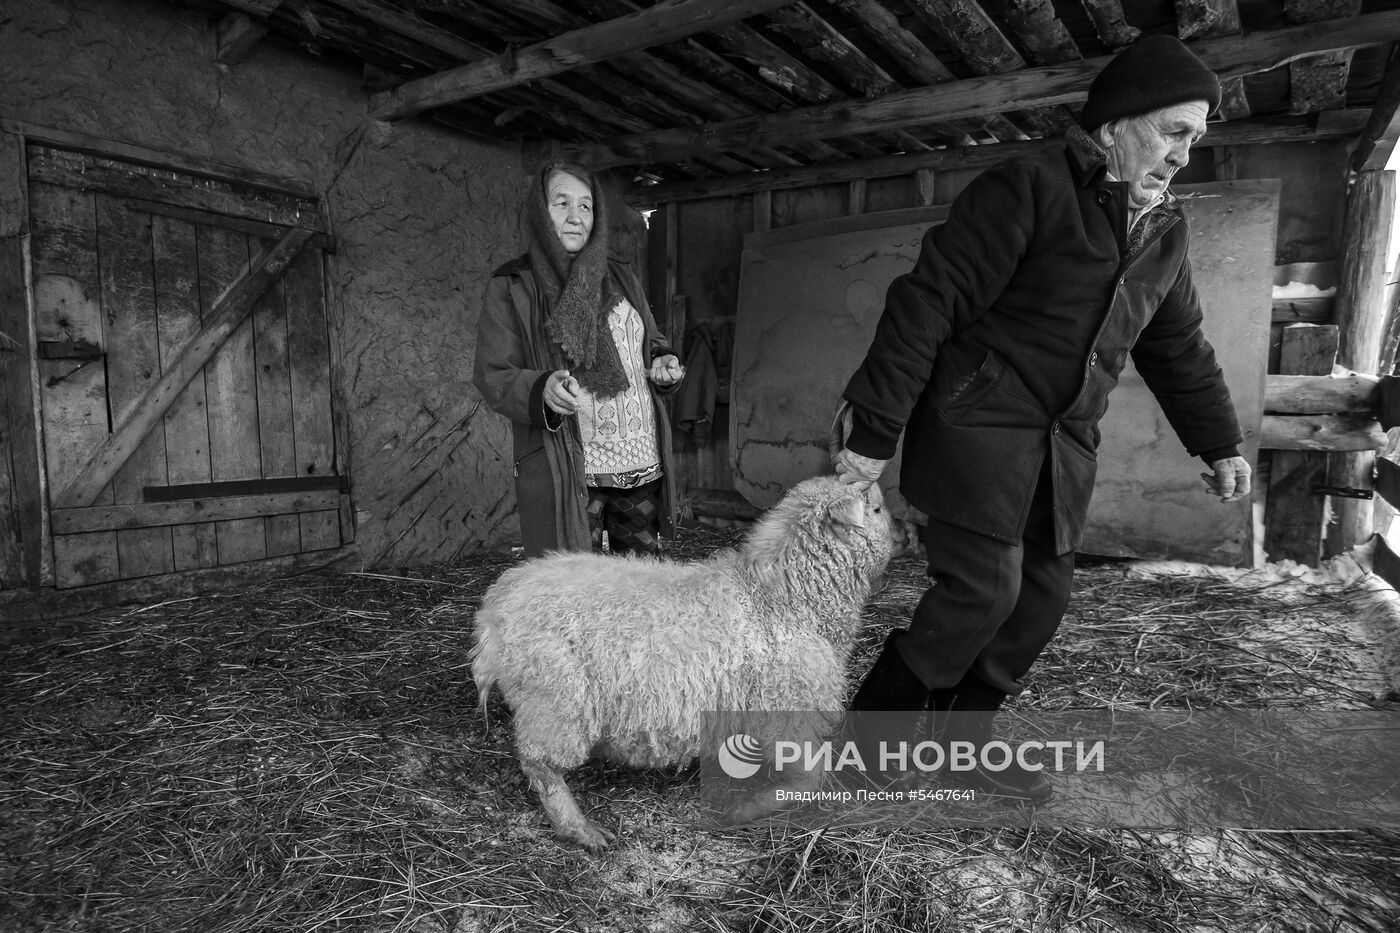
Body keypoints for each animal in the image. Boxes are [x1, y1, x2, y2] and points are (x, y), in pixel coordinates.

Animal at [473, 476, 896, 846]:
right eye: (875, 508)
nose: (904, 538)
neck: (783, 599)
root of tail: (497, 604)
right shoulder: (784, 708)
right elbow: (811, 777)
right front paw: (742, 812)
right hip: (555, 698)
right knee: (540, 765)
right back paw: (580, 829)